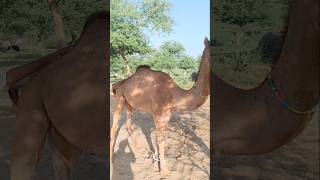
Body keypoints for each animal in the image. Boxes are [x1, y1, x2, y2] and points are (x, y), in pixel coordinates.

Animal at [111, 37, 211, 176]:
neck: (174, 95)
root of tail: (119, 83)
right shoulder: (158, 114)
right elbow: (160, 141)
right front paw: (164, 171)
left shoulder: (165, 116)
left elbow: (159, 140)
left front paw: (156, 163)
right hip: (120, 96)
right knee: (114, 127)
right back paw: (112, 159)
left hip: (130, 103)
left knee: (128, 124)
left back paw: (139, 150)